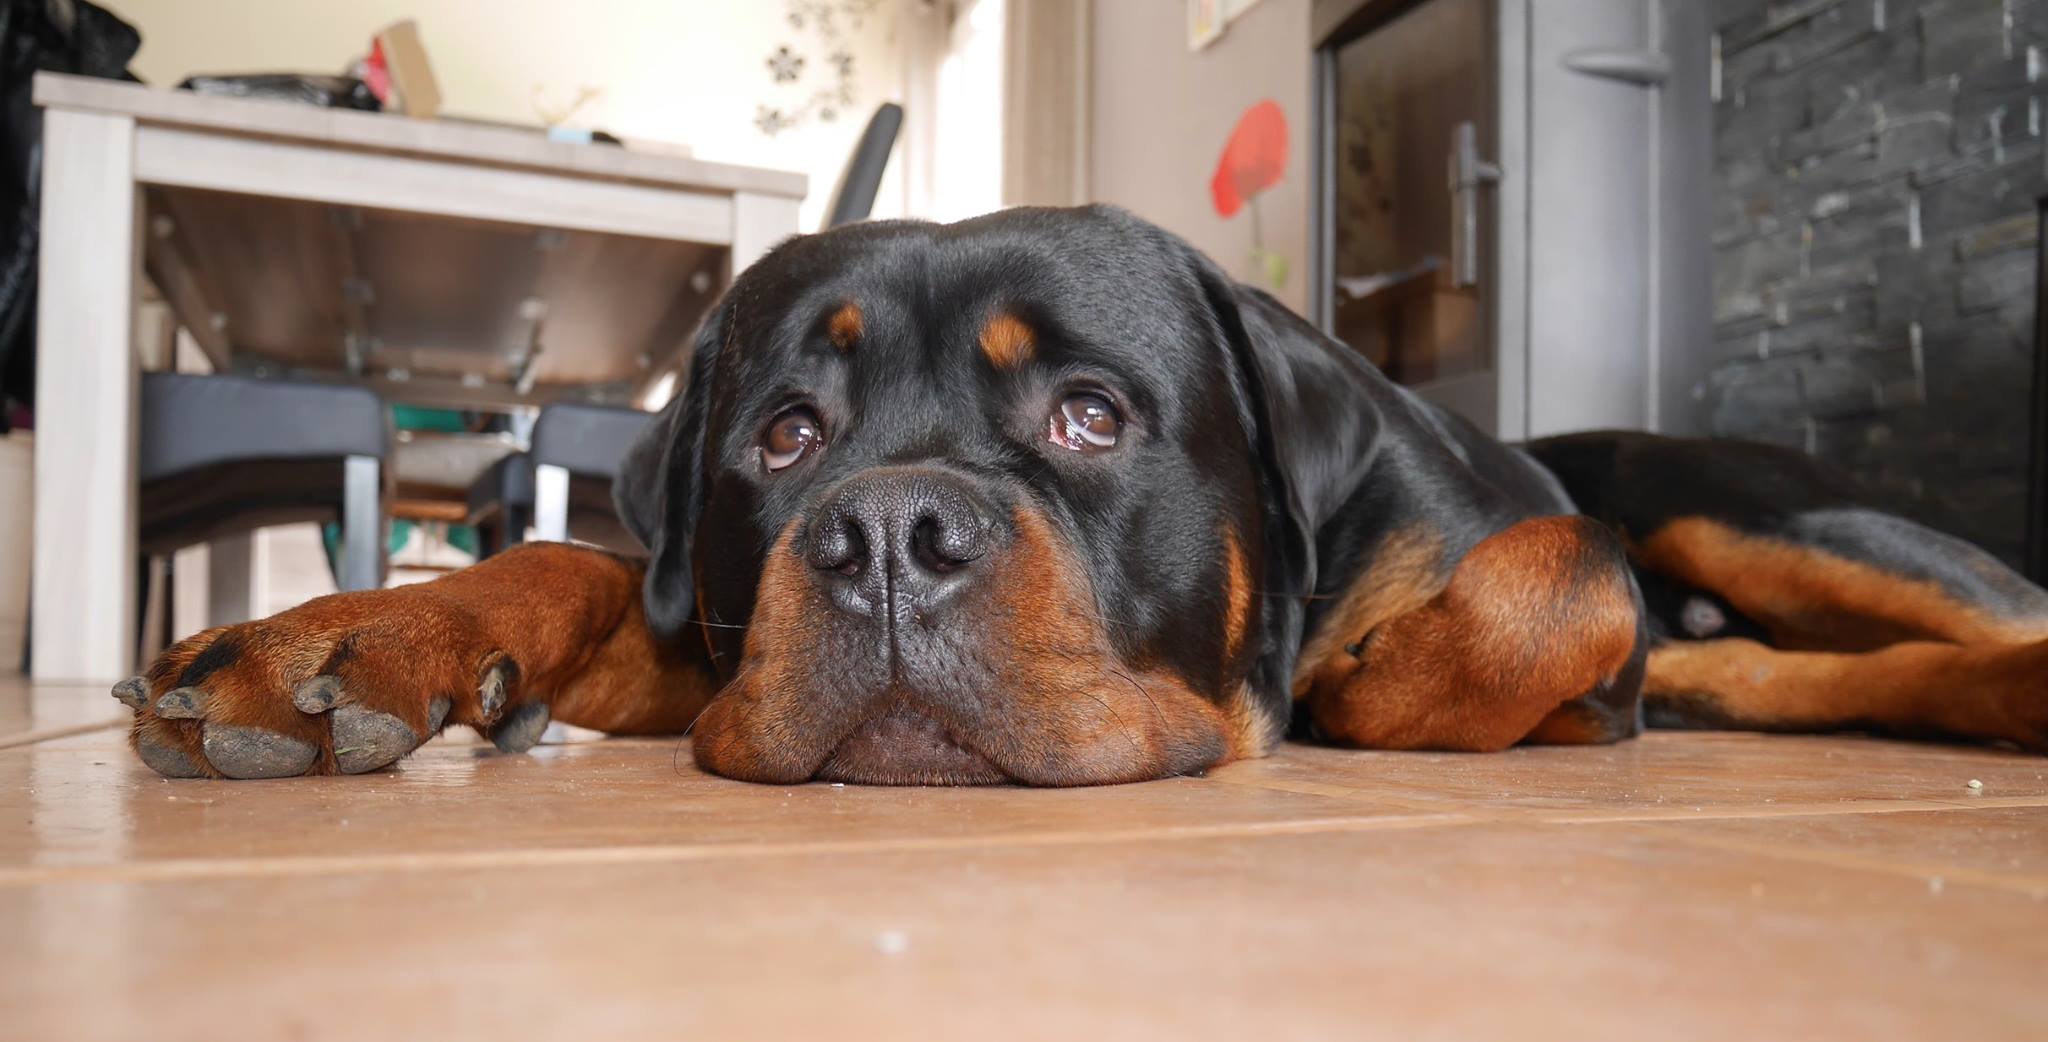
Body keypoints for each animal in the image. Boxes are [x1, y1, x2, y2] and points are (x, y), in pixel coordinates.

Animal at [116, 206, 2048, 777]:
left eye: (1092, 416)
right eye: (785, 438)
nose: (889, 533)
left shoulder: (1506, 556)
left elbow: (1547, 577)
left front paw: (1363, 686)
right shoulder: (719, 634)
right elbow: (569, 562)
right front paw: (339, 643)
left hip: (1732, 498)